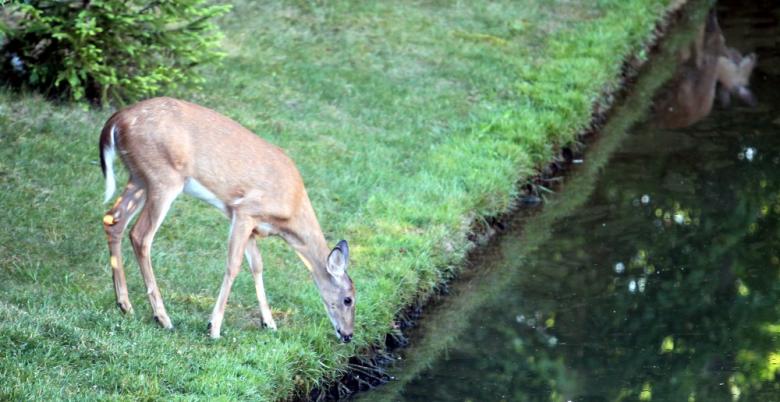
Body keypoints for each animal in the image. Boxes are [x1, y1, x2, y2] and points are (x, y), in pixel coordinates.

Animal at [99, 97, 355, 342]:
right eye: (349, 299)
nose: (348, 335)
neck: (289, 214)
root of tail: (116, 120)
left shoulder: (250, 223)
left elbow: (257, 265)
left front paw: (269, 323)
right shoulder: (245, 210)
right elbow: (233, 266)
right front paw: (214, 328)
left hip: (139, 177)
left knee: (113, 219)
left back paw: (124, 304)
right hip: (163, 177)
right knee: (140, 235)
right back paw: (162, 317)